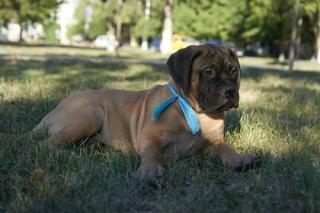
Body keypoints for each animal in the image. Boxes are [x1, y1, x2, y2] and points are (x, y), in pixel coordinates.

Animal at [32, 44, 262, 181]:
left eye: (234, 70)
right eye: (209, 71)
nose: (231, 91)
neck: (194, 111)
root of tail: (52, 112)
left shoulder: (213, 143)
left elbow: (227, 148)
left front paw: (240, 159)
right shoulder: (149, 138)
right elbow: (153, 153)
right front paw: (151, 170)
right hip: (89, 114)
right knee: (46, 145)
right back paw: (71, 155)